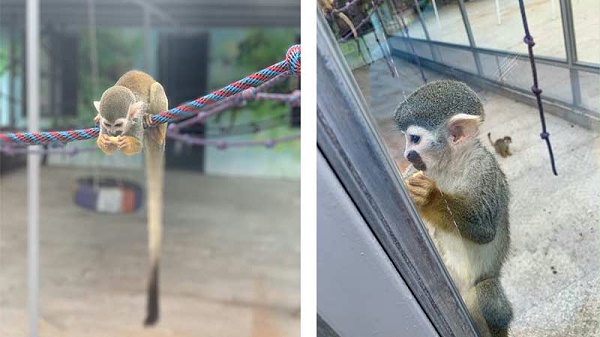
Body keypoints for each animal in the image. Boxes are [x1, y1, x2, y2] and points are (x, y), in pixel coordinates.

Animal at [94, 69, 169, 324]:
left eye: (119, 124)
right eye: (109, 125)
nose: (114, 133)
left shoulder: (134, 121)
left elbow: (136, 144)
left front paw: (127, 141)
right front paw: (104, 141)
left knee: (157, 89)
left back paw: (158, 129)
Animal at [396, 80, 512, 336]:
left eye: (414, 139)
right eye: (406, 140)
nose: (406, 154)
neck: (449, 165)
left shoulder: (483, 169)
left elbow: (484, 230)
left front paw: (431, 197)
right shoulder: (415, 172)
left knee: (488, 294)